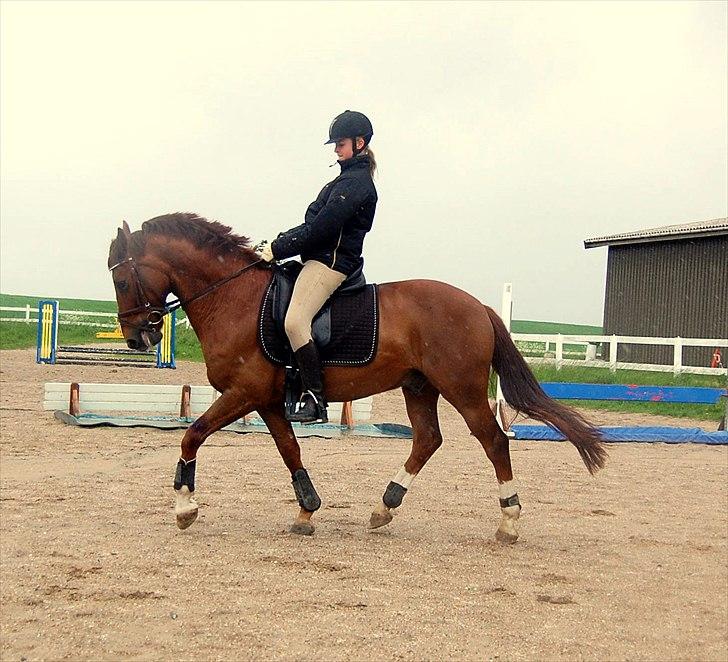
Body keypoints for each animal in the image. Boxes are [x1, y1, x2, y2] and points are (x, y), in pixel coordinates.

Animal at [108, 213, 607, 542]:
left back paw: (508, 521)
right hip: (418, 387)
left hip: (461, 389)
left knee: (494, 441)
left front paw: (185, 507)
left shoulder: (243, 392)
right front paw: (307, 511)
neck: (233, 297)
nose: (136, 338)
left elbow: (192, 434)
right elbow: (289, 450)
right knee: (427, 439)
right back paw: (383, 508)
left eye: (121, 280)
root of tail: (478, 306)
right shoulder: (265, 399)